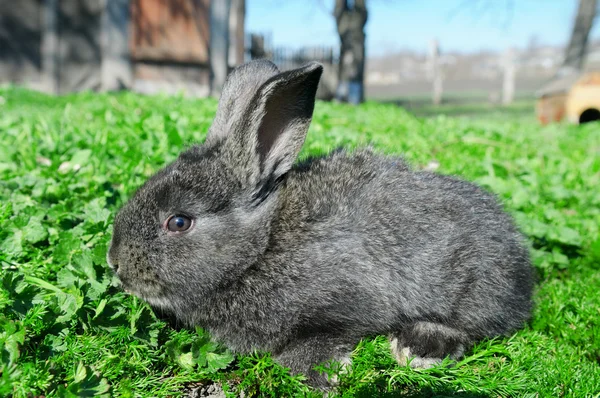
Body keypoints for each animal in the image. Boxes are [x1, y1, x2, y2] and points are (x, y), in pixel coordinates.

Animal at [108, 59, 536, 388]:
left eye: (179, 222)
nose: (115, 263)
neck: (262, 246)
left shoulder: (348, 299)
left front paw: (318, 374)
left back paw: (418, 347)